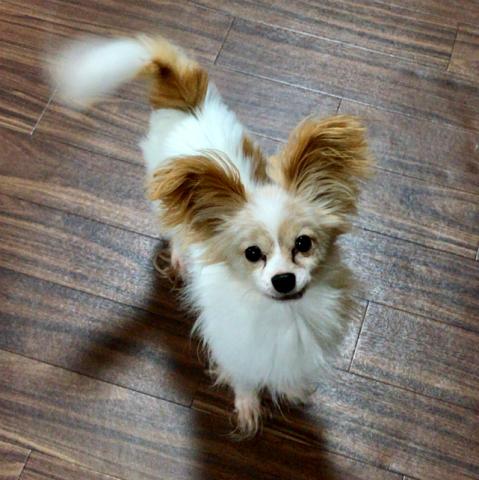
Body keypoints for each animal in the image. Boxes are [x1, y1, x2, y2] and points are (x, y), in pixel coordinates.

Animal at [51, 34, 372, 437]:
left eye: (304, 244)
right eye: (252, 253)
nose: (283, 280)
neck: (284, 313)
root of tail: (186, 94)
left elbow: (288, 374)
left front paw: (292, 391)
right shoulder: (234, 348)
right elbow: (245, 380)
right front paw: (248, 409)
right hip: (163, 201)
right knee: (176, 231)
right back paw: (178, 257)